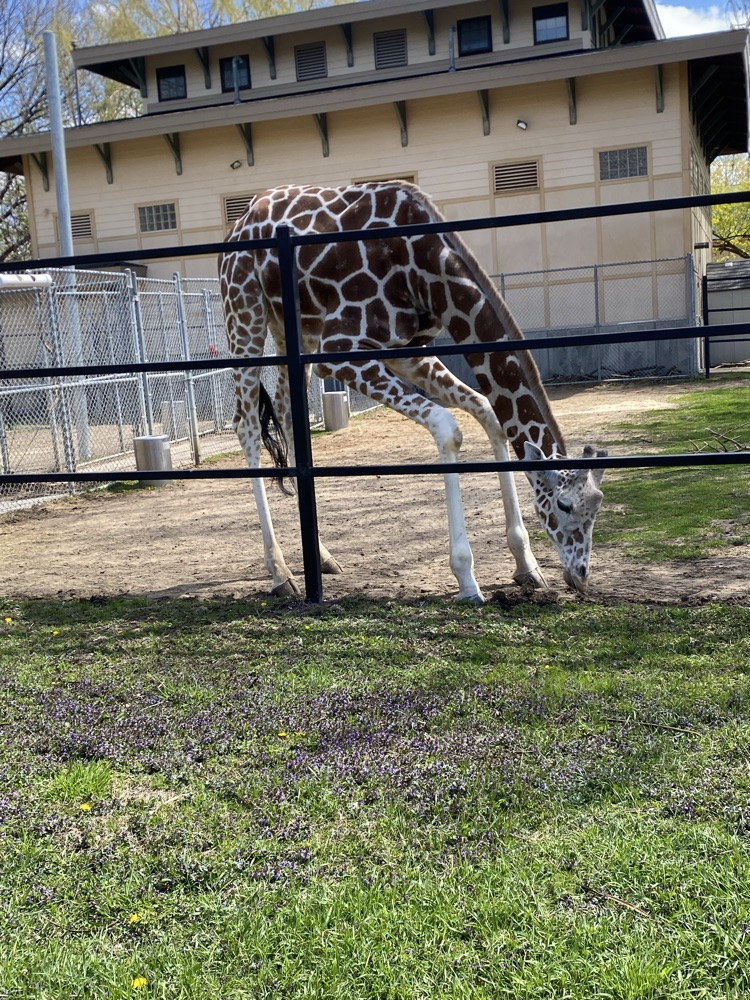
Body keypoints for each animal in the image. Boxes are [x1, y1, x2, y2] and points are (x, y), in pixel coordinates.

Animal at [219, 181, 607, 603]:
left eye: (597, 505)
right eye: (564, 505)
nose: (581, 576)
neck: (425, 270)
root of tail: (238, 224)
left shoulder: (408, 351)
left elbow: (488, 412)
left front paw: (526, 565)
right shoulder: (339, 351)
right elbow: (447, 428)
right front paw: (466, 578)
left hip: (293, 331)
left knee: (289, 416)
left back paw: (320, 556)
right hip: (244, 312)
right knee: (246, 426)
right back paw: (280, 572)